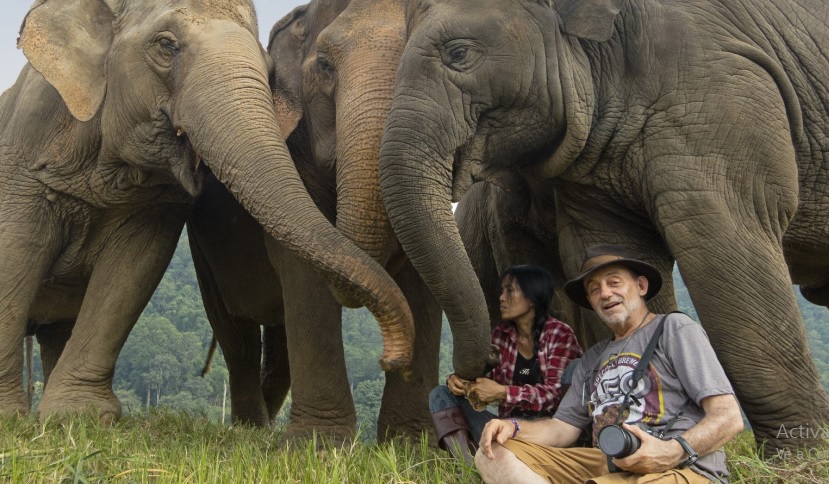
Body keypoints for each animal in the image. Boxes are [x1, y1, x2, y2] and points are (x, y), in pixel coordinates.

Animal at [0, 0, 414, 422]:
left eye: (268, 70)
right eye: (166, 45)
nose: (391, 360)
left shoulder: (158, 209)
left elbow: (133, 268)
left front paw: (77, 416)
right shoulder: (23, 156)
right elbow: (17, 251)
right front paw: (20, 416)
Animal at [186, 0, 478, 442]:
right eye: (324, 65)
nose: (389, 360)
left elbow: (421, 273)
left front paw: (412, 444)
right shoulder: (295, 156)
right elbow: (304, 272)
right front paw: (319, 445)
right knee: (237, 333)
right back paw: (252, 429)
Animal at [380, 0, 828, 454]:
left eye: (458, 54)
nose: (479, 367)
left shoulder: (715, 88)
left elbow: (721, 241)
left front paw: (797, 457)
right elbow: (614, 247)